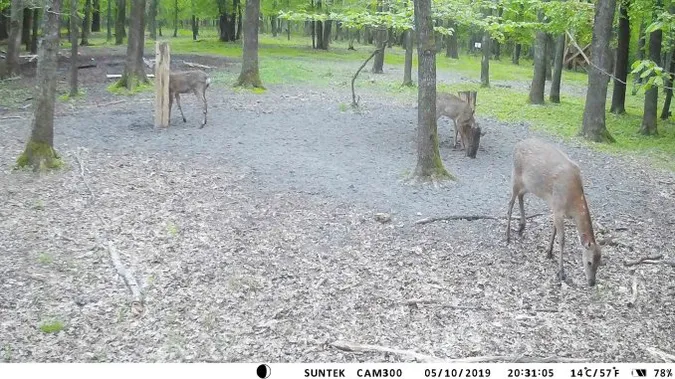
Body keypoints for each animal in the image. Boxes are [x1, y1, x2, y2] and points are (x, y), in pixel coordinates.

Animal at [508, 138, 604, 286]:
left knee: (520, 196)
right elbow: (562, 239)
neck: (572, 202)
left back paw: (521, 227)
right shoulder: (558, 208)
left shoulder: (556, 209)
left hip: (529, 184)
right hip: (516, 175)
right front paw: (561, 273)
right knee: (510, 202)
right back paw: (507, 236)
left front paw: (549, 252)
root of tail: (517, 145)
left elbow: (553, 229)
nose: (592, 282)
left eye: (600, 263)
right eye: (589, 262)